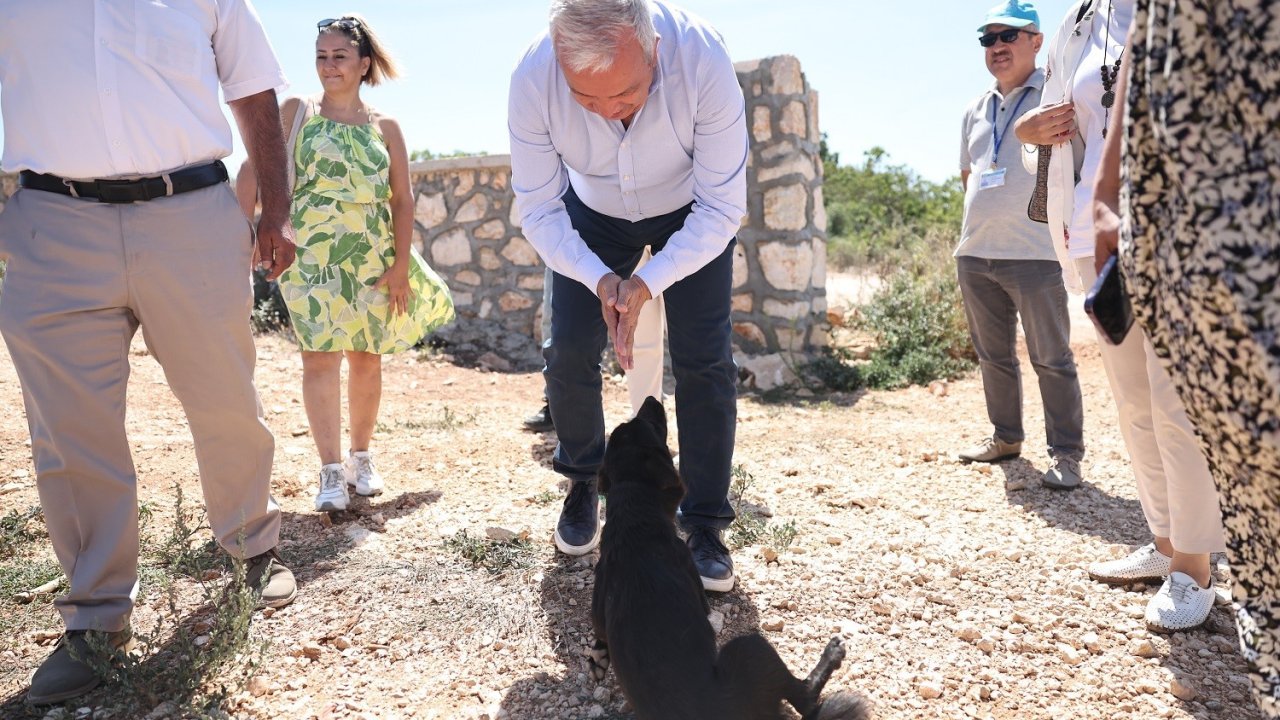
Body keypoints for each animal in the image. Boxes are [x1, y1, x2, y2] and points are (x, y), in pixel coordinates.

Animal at [588, 394, 870, 717]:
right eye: (651, 426)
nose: (651, 399)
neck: (633, 514)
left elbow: (599, 631)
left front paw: (599, 657)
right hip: (750, 646)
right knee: (806, 697)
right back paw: (832, 654)